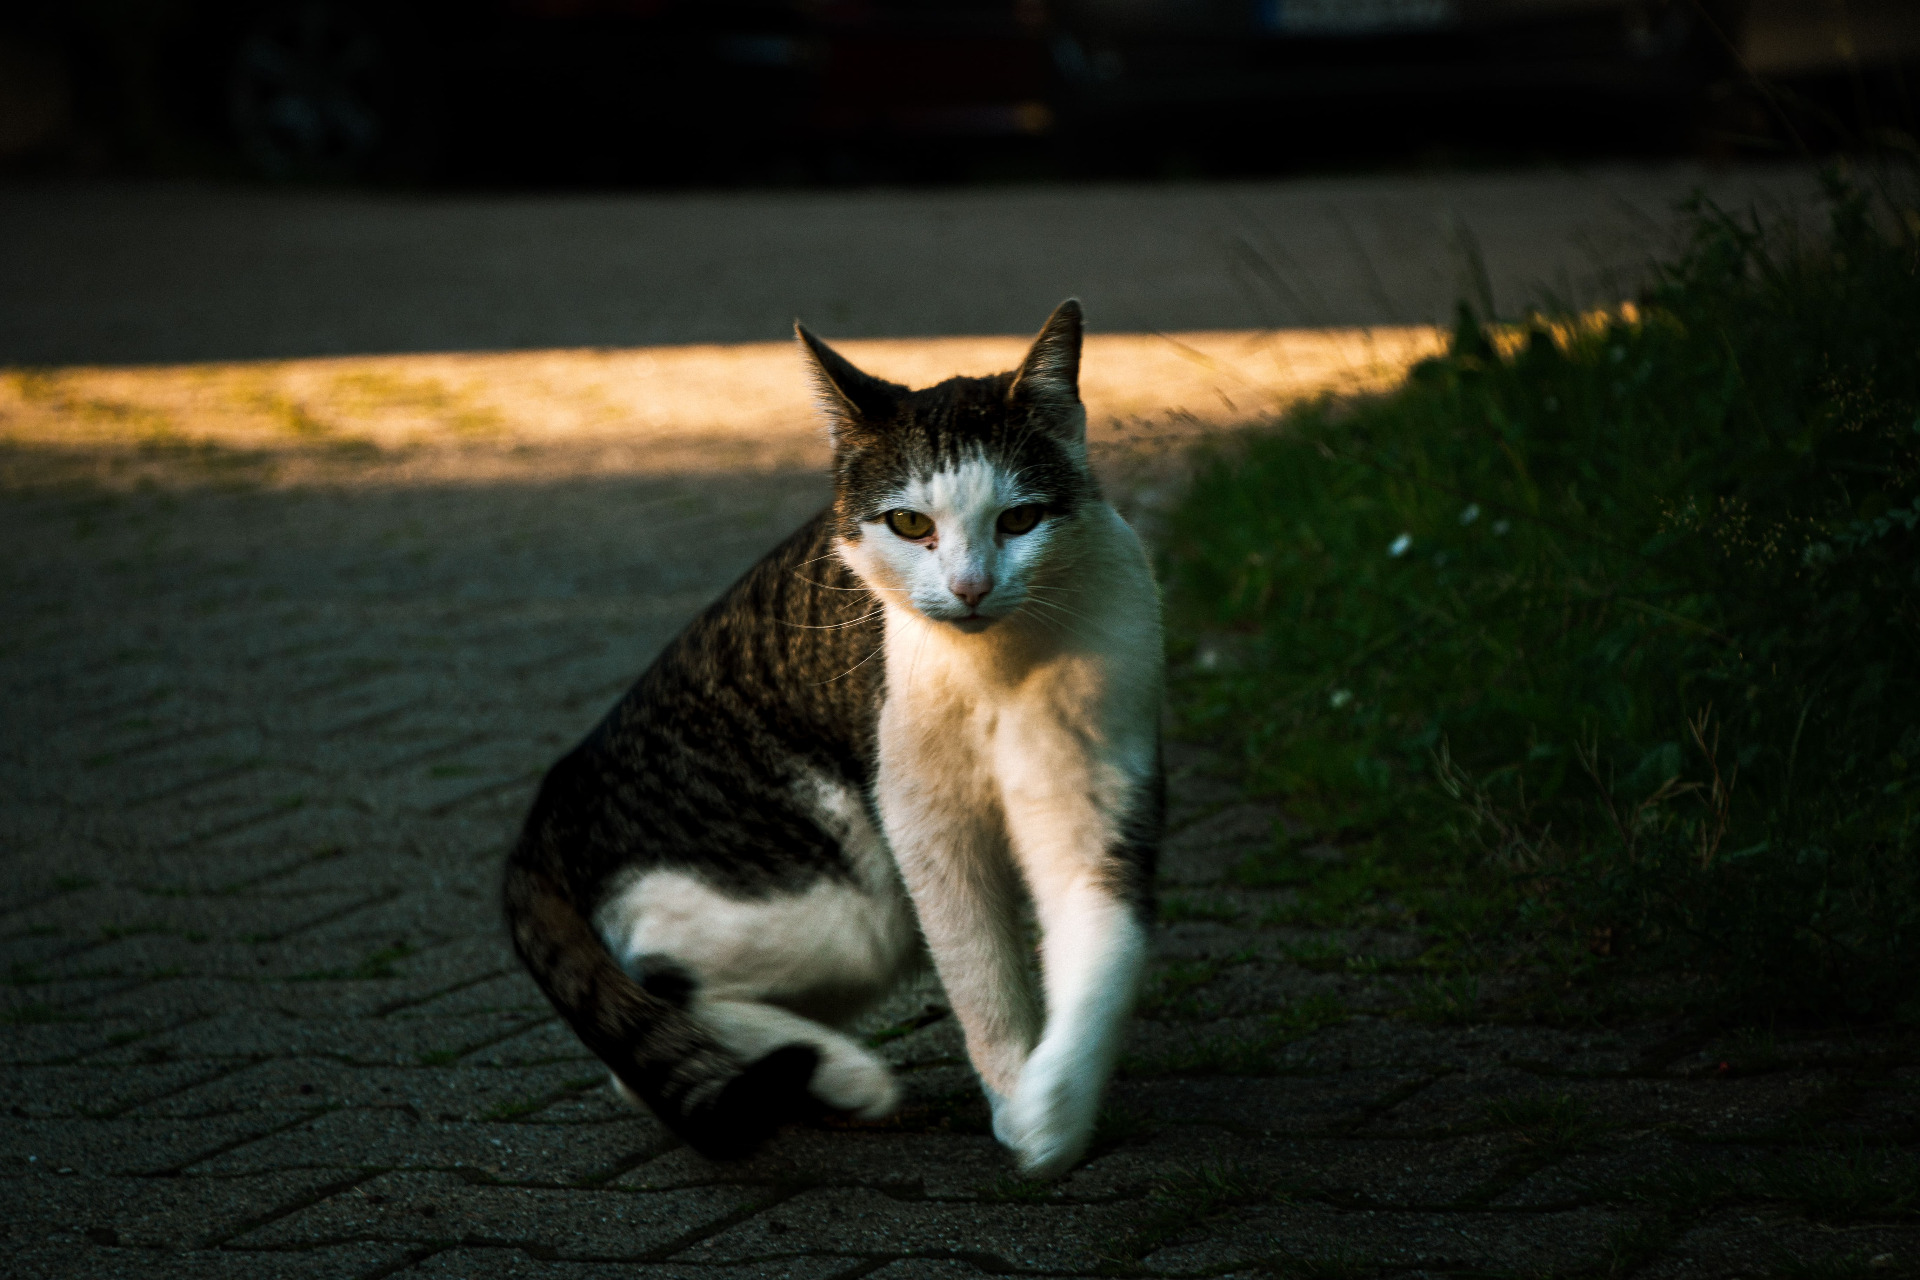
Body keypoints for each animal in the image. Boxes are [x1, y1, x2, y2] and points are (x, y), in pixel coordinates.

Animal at [503, 301, 1159, 1182]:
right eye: (909, 524)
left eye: (1019, 519)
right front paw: (1017, 1090)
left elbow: (1108, 948)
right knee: (657, 983)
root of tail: (555, 794)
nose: (970, 588)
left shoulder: (1089, 787)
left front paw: (1054, 1108)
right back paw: (844, 1075)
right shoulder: (922, 823)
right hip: (852, 907)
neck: (998, 667)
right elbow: (981, 973)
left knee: (637, 1063)